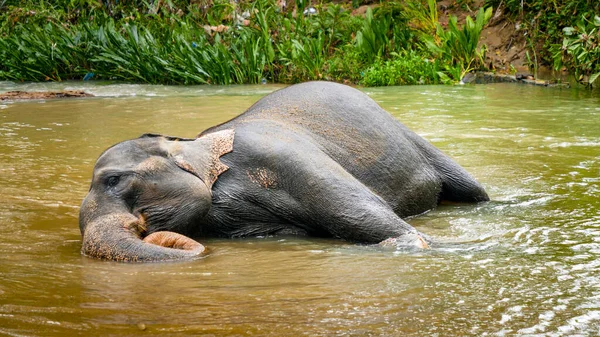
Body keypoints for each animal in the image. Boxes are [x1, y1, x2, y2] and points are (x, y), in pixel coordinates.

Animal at [78, 80, 488, 262]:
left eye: (113, 180)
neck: (192, 144)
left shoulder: (286, 157)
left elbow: (359, 213)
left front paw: (417, 242)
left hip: (411, 137)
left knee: (473, 190)